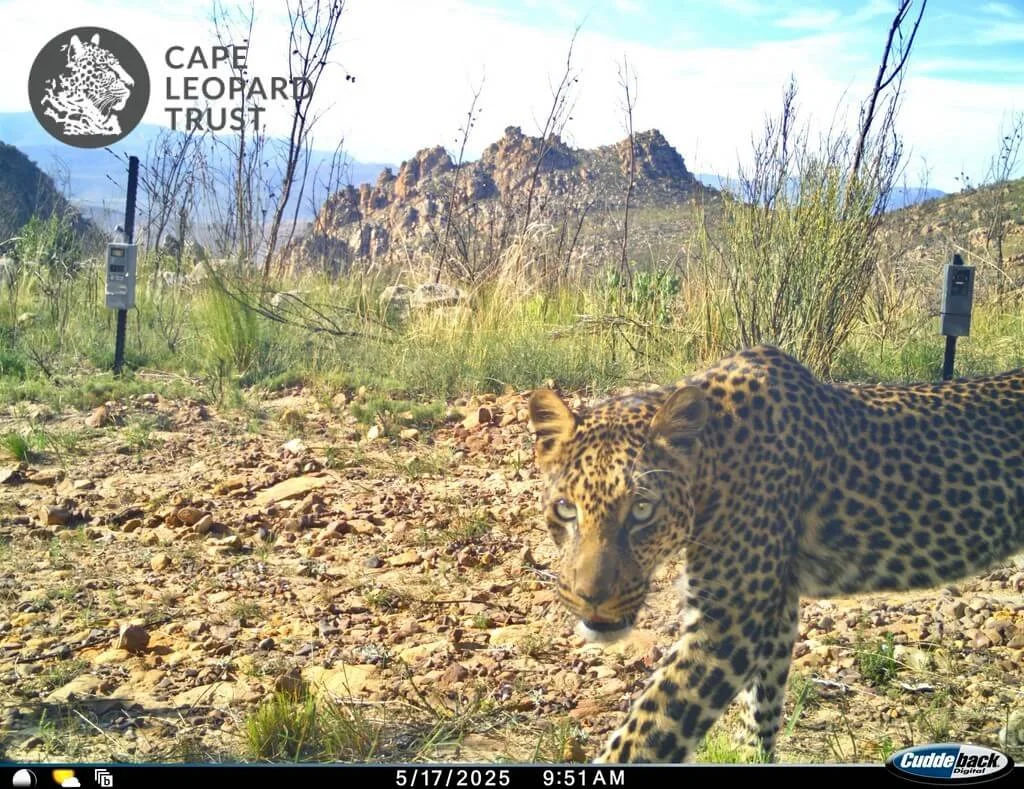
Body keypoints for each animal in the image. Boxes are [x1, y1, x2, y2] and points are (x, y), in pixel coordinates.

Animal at [527, 345, 1024, 764]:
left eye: (642, 510)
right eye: (566, 508)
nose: (591, 597)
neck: (715, 457)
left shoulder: (729, 619)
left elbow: (648, 732)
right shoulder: (777, 605)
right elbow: (760, 709)